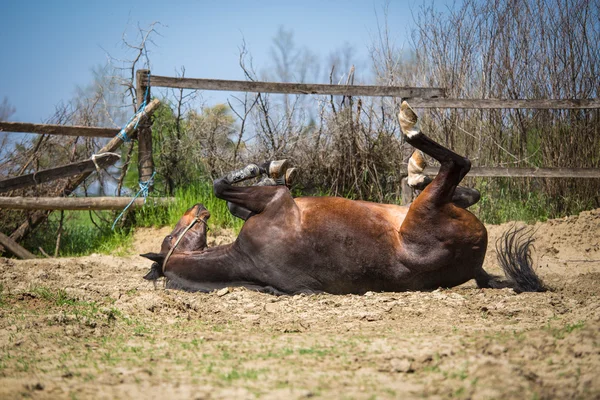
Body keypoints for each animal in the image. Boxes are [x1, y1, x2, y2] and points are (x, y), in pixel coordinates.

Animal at [143, 101, 548, 296]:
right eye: (171, 235)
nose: (196, 210)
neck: (246, 257)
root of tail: (476, 261)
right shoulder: (275, 201)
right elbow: (220, 186)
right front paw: (267, 167)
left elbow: (230, 199)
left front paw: (274, 168)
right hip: (430, 207)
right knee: (457, 165)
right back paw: (409, 128)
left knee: (465, 186)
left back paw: (416, 169)